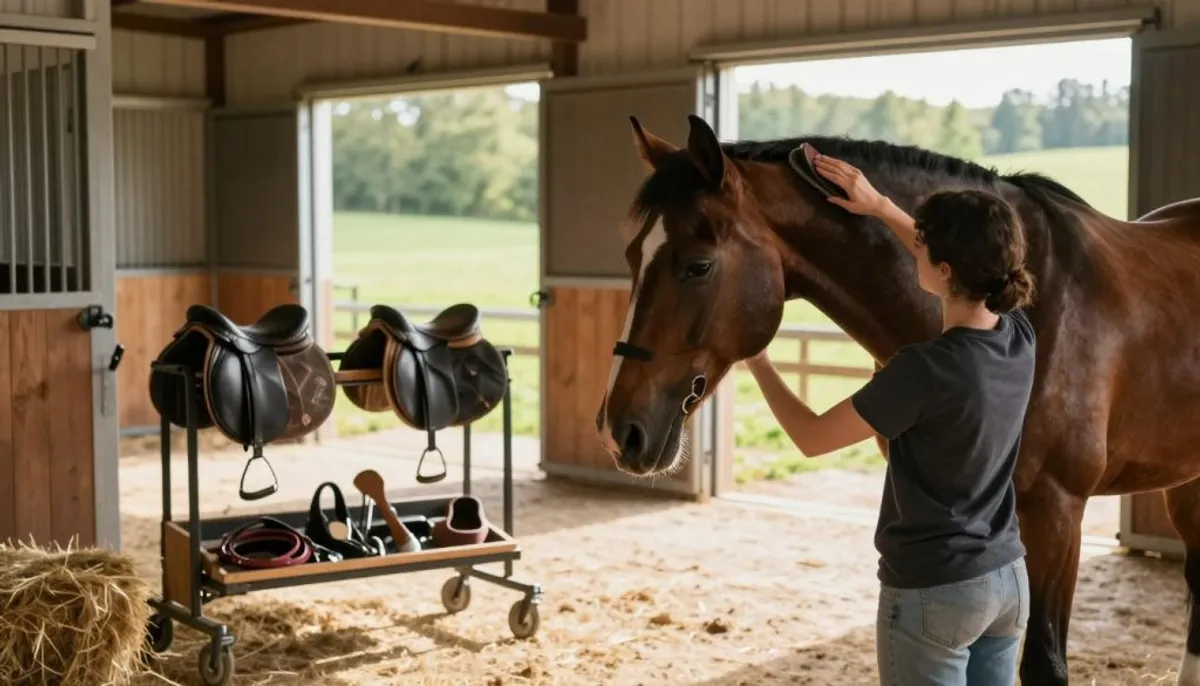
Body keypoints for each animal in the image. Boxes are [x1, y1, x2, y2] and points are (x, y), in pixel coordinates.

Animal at [594, 113, 1200, 685]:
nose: (618, 431)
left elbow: (1044, 664)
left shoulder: (1058, 514)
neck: (1035, 299)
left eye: (698, 265)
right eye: (631, 254)